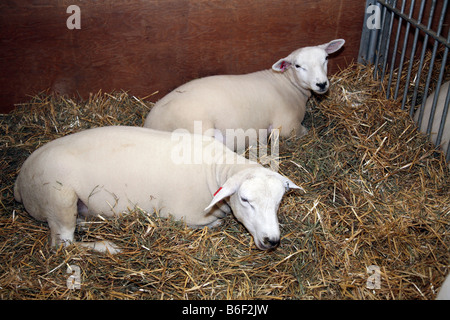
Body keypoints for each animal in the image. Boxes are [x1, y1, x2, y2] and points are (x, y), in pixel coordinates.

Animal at [14, 125, 302, 252]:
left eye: (279, 202)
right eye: (245, 200)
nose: (272, 241)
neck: (215, 168)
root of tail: (19, 182)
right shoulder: (184, 216)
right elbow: (213, 224)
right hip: (58, 197)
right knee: (62, 245)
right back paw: (108, 247)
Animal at [144, 40, 344, 150]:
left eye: (325, 59)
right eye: (298, 66)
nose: (321, 84)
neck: (287, 83)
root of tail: (150, 124)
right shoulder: (288, 126)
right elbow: (304, 131)